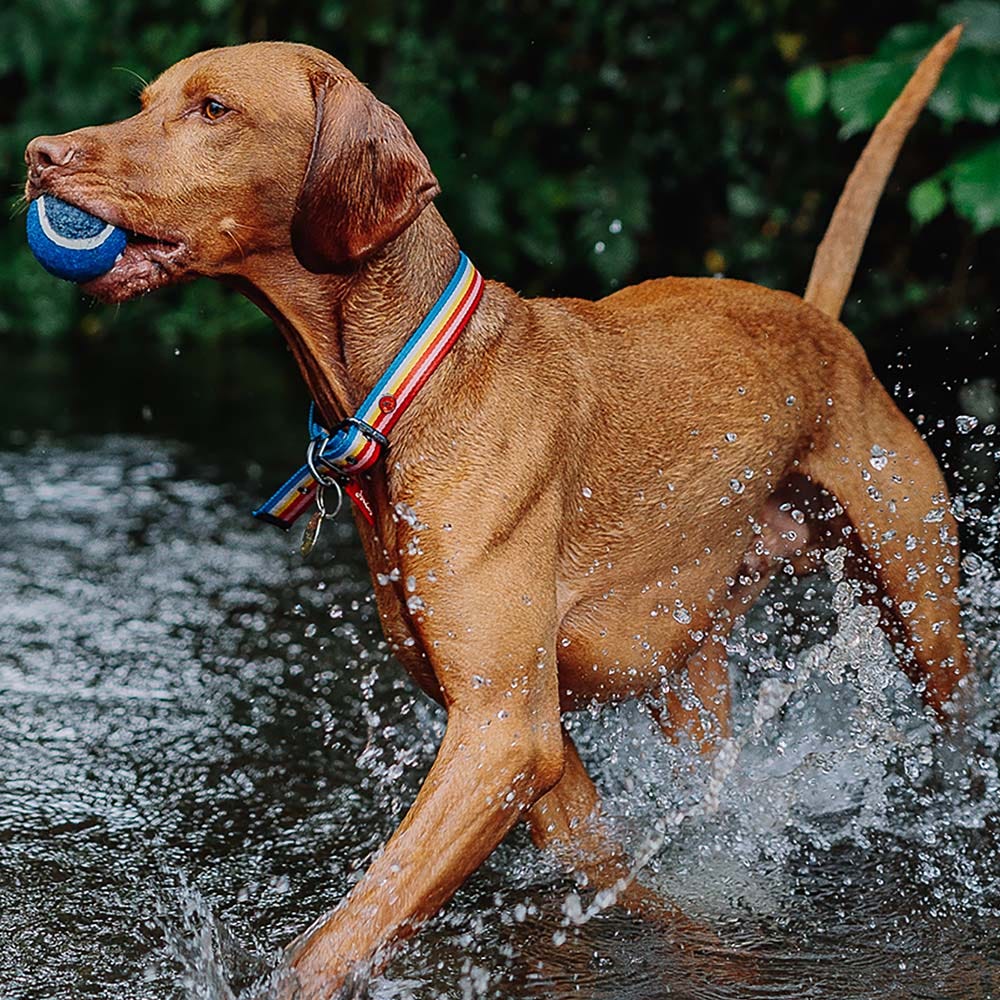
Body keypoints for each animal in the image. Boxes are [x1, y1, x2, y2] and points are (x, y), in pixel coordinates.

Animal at [25, 23, 968, 1000]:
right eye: (144, 102)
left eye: (212, 108)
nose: (39, 155)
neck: (413, 393)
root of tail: (821, 324)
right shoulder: (531, 755)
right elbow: (621, 876)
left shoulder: (501, 736)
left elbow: (337, 937)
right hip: (689, 675)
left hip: (924, 615)